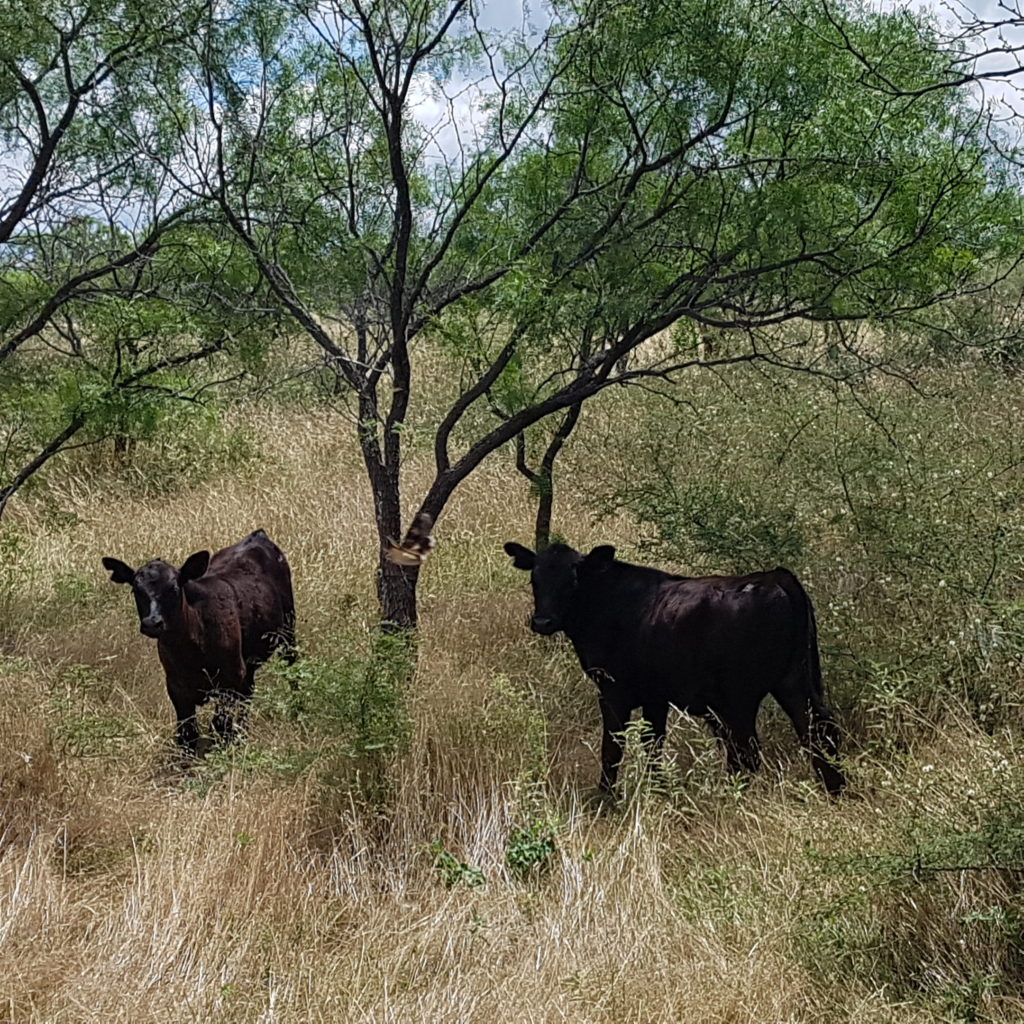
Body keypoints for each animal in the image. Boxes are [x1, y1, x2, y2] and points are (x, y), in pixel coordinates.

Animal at [103, 532, 296, 749]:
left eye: (174, 588)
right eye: (136, 590)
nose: (152, 623)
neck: (192, 647)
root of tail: (257, 535)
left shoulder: (230, 678)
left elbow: (219, 728)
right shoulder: (176, 686)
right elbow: (187, 735)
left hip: (288, 630)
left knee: (292, 669)